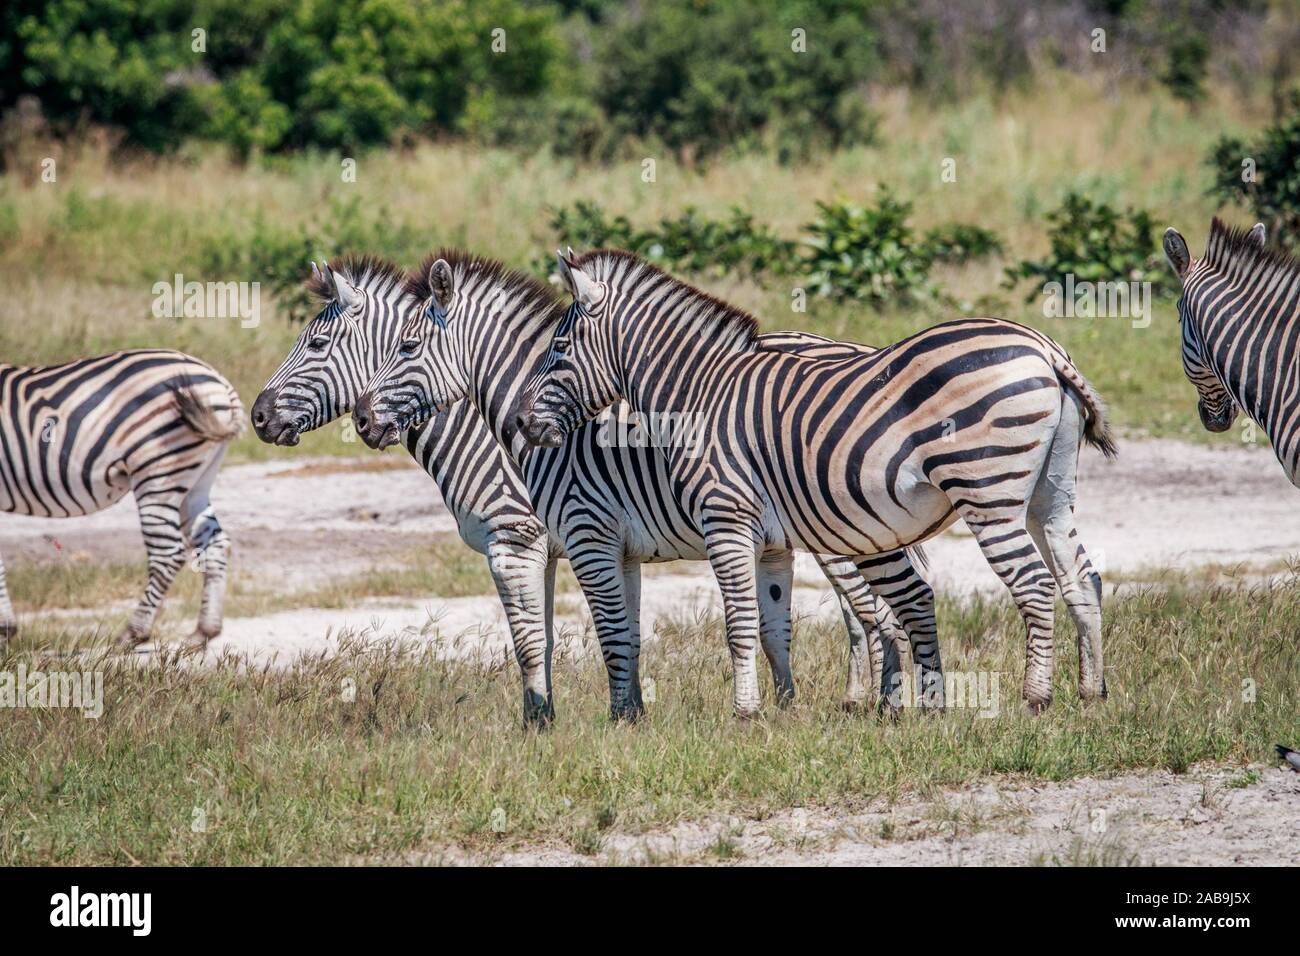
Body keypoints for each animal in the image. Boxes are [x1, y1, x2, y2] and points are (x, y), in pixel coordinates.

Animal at [0, 350, 242, 652]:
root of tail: (220, 382)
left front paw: (4, 630)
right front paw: (6, 629)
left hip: (158, 468)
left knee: (168, 553)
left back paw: (133, 633)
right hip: (197, 479)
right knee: (215, 544)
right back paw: (203, 632)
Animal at [254, 254, 912, 723]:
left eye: (316, 345)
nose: (258, 418)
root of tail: (854, 347)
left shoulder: (521, 539)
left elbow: (535, 640)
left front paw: (543, 724)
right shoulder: (578, 548)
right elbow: (564, 637)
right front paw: (571, 718)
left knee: (875, 610)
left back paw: (880, 704)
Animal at [518, 250, 1116, 717]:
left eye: (559, 348)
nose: (523, 423)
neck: (697, 393)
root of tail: (1043, 347)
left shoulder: (725, 517)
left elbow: (739, 622)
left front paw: (746, 715)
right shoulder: (762, 534)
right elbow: (765, 623)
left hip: (988, 492)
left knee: (1034, 585)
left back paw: (1035, 698)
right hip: (1049, 496)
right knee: (1080, 576)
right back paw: (1091, 692)